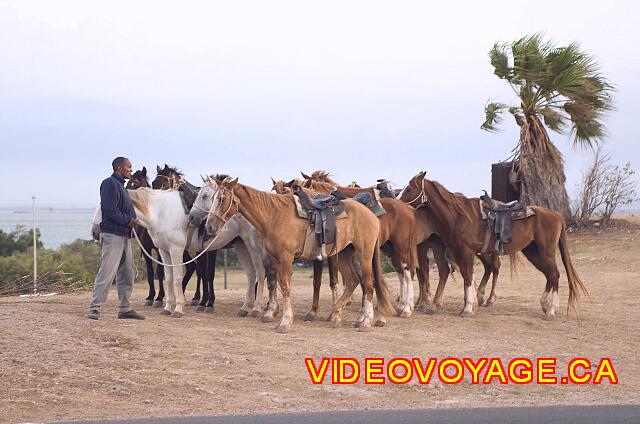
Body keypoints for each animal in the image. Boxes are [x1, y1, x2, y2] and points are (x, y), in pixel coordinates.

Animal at [206, 177, 396, 332]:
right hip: (344, 254)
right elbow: (276, 283)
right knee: (352, 281)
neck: (275, 215)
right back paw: (338, 314)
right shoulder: (274, 258)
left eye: (221, 199)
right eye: (213, 198)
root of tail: (371, 214)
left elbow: (285, 287)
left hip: (364, 255)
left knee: (368, 283)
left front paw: (284, 322)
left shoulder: (286, 258)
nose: (209, 226)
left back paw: (365, 322)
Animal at [400, 171, 592, 320]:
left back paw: (551, 310)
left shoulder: (466, 252)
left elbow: (468, 277)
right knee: (549, 276)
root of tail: (557, 216)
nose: (398, 202)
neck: (459, 216)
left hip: (546, 251)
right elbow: (467, 276)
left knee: (555, 275)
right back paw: (545, 305)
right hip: (533, 252)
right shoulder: (461, 252)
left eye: (409, 188)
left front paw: (468, 309)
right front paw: (468, 305)